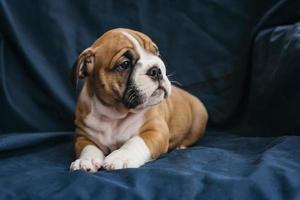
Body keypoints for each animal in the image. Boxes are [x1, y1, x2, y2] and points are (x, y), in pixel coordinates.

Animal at [69, 28, 207, 172]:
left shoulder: (155, 130)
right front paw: (86, 160)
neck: (115, 114)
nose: (156, 70)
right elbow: (88, 147)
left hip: (199, 118)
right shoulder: (82, 135)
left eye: (157, 54)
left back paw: (181, 146)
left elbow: (135, 141)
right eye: (125, 64)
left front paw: (121, 156)